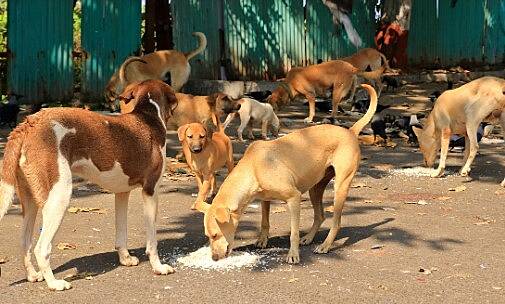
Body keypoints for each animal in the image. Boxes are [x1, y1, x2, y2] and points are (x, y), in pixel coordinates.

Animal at [0, 79, 179, 290]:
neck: (148, 116)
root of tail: (29, 123)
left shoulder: (122, 193)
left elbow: (121, 232)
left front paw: (125, 259)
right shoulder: (151, 190)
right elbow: (152, 241)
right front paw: (158, 267)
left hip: (30, 203)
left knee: (25, 243)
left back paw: (33, 275)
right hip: (59, 197)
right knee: (41, 248)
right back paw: (54, 283)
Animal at [195, 83, 376, 264]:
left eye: (215, 235)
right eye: (208, 236)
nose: (214, 258)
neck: (254, 167)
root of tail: (350, 131)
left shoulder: (294, 198)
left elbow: (293, 232)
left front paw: (293, 254)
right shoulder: (265, 199)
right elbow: (264, 222)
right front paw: (262, 240)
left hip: (341, 187)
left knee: (336, 222)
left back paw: (325, 245)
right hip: (315, 188)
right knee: (320, 216)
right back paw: (308, 238)